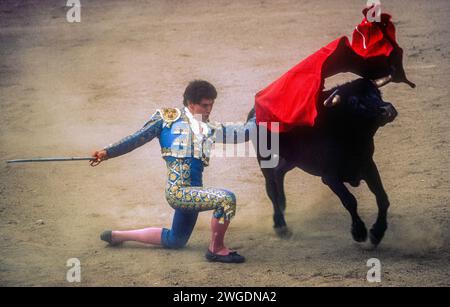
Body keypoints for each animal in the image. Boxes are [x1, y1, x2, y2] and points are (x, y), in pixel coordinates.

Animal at [248, 77, 400, 248]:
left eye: (378, 93)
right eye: (354, 101)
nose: (388, 109)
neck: (352, 139)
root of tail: (254, 111)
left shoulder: (368, 166)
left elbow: (382, 198)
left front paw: (377, 233)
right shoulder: (330, 177)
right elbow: (350, 201)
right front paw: (359, 232)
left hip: (293, 159)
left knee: (279, 172)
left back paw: (282, 203)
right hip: (264, 158)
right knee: (271, 186)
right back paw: (280, 225)